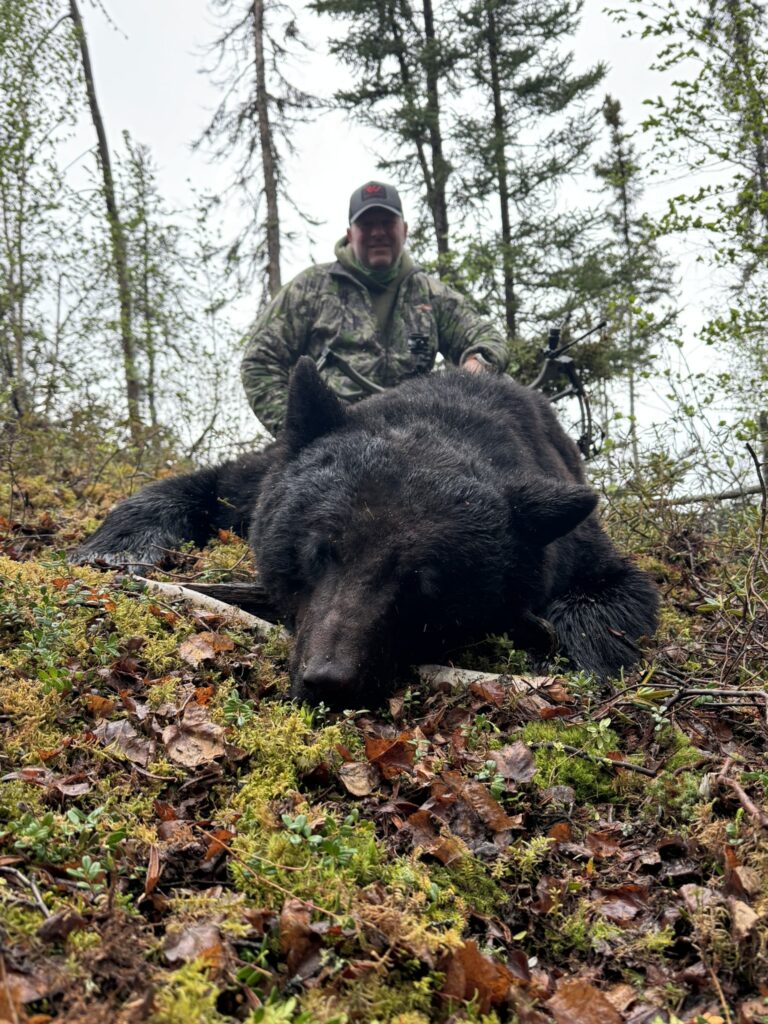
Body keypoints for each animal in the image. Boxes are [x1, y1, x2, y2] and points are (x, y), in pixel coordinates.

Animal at [73, 357, 659, 707]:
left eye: (426, 583)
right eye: (318, 552)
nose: (329, 681)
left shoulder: (569, 541)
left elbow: (611, 592)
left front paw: (574, 657)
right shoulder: (262, 479)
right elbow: (205, 485)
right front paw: (113, 550)